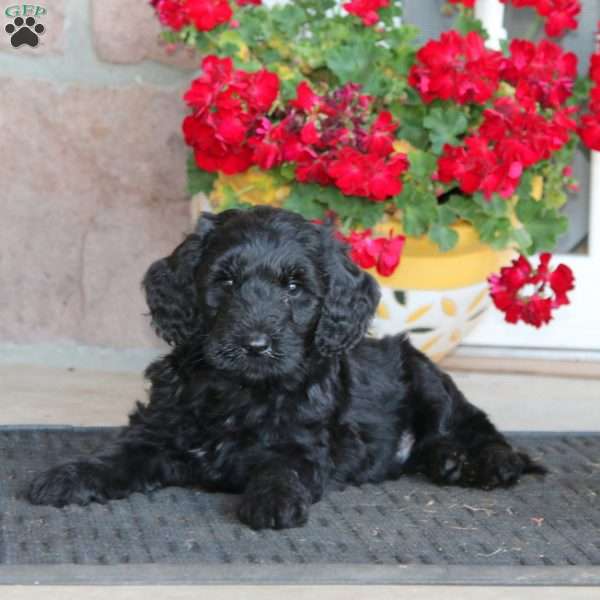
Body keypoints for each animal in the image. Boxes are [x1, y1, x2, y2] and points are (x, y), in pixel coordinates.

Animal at [28, 206, 544, 528]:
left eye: (295, 288)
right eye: (226, 282)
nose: (255, 345)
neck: (241, 392)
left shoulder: (303, 445)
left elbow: (283, 470)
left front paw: (273, 502)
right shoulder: (159, 430)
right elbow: (117, 454)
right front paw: (69, 475)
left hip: (425, 374)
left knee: (472, 426)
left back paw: (486, 463)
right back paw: (448, 462)